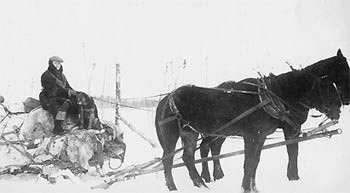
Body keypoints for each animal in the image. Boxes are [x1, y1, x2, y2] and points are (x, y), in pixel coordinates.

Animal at [155, 49, 348, 191]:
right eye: (328, 86)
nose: (340, 106)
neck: (273, 96)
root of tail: (166, 98)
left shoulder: (263, 136)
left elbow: (256, 162)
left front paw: (254, 187)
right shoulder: (254, 136)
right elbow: (250, 163)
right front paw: (247, 187)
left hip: (192, 132)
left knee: (189, 156)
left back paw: (200, 184)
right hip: (174, 134)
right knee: (168, 160)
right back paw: (173, 187)